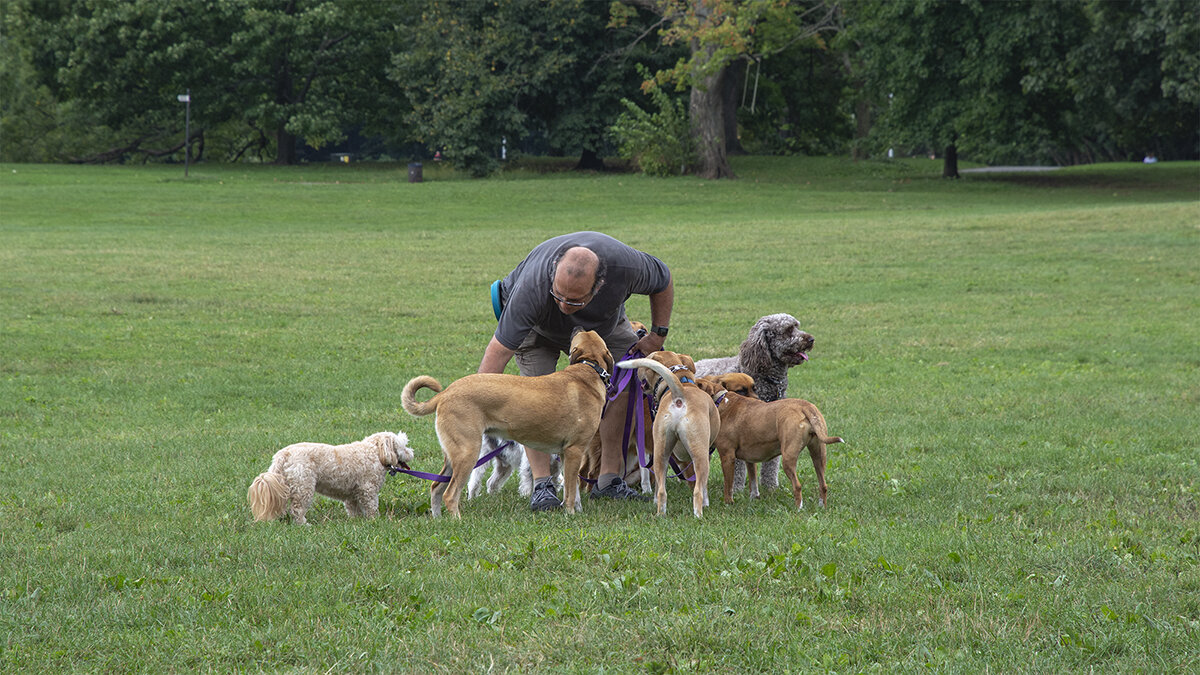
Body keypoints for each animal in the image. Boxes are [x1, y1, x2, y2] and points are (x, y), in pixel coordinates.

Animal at [246, 427, 415, 523]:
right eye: (404, 446)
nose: (412, 453)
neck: (375, 452)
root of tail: (283, 454)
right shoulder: (368, 490)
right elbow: (371, 506)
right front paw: (375, 520)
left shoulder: (352, 495)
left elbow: (353, 509)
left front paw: (357, 521)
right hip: (303, 486)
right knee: (297, 509)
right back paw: (304, 524)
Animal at [400, 329, 614, 514]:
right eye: (581, 334)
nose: (577, 326)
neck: (589, 368)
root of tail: (445, 393)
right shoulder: (574, 451)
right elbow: (570, 493)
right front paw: (570, 513)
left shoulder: (568, 454)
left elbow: (574, 490)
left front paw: (577, 510)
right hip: (467, 453)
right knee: (450, 494)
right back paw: (456, 522)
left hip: (453, 455)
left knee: (435, 487)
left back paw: (438, 519)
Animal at [614, 353, 715, 514]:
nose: (637, 371)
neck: (683, 382)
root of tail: (679, 394)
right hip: (700, 455)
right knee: (698, 491)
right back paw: (698, 514)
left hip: (661, 454)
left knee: (661, 490)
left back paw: (660, 512)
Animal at [696, 312, 816, 492]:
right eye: (788, 330)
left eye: (797, 326)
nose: (811, 339)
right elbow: (738, 467)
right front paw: (736, 489)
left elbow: (771, 464)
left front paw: (770, 487)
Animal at [705, 386, 840, 506]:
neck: (721, 400)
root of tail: (805, 406)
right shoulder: (750, 459)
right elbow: (753, 482)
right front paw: (754, 499)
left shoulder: (727, 457)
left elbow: (728, 486)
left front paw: (728, 503)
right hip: (819, 455)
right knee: (823, 485)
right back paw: (821, 507)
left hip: (788, 459)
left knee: (797, 486)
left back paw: (798, 510)